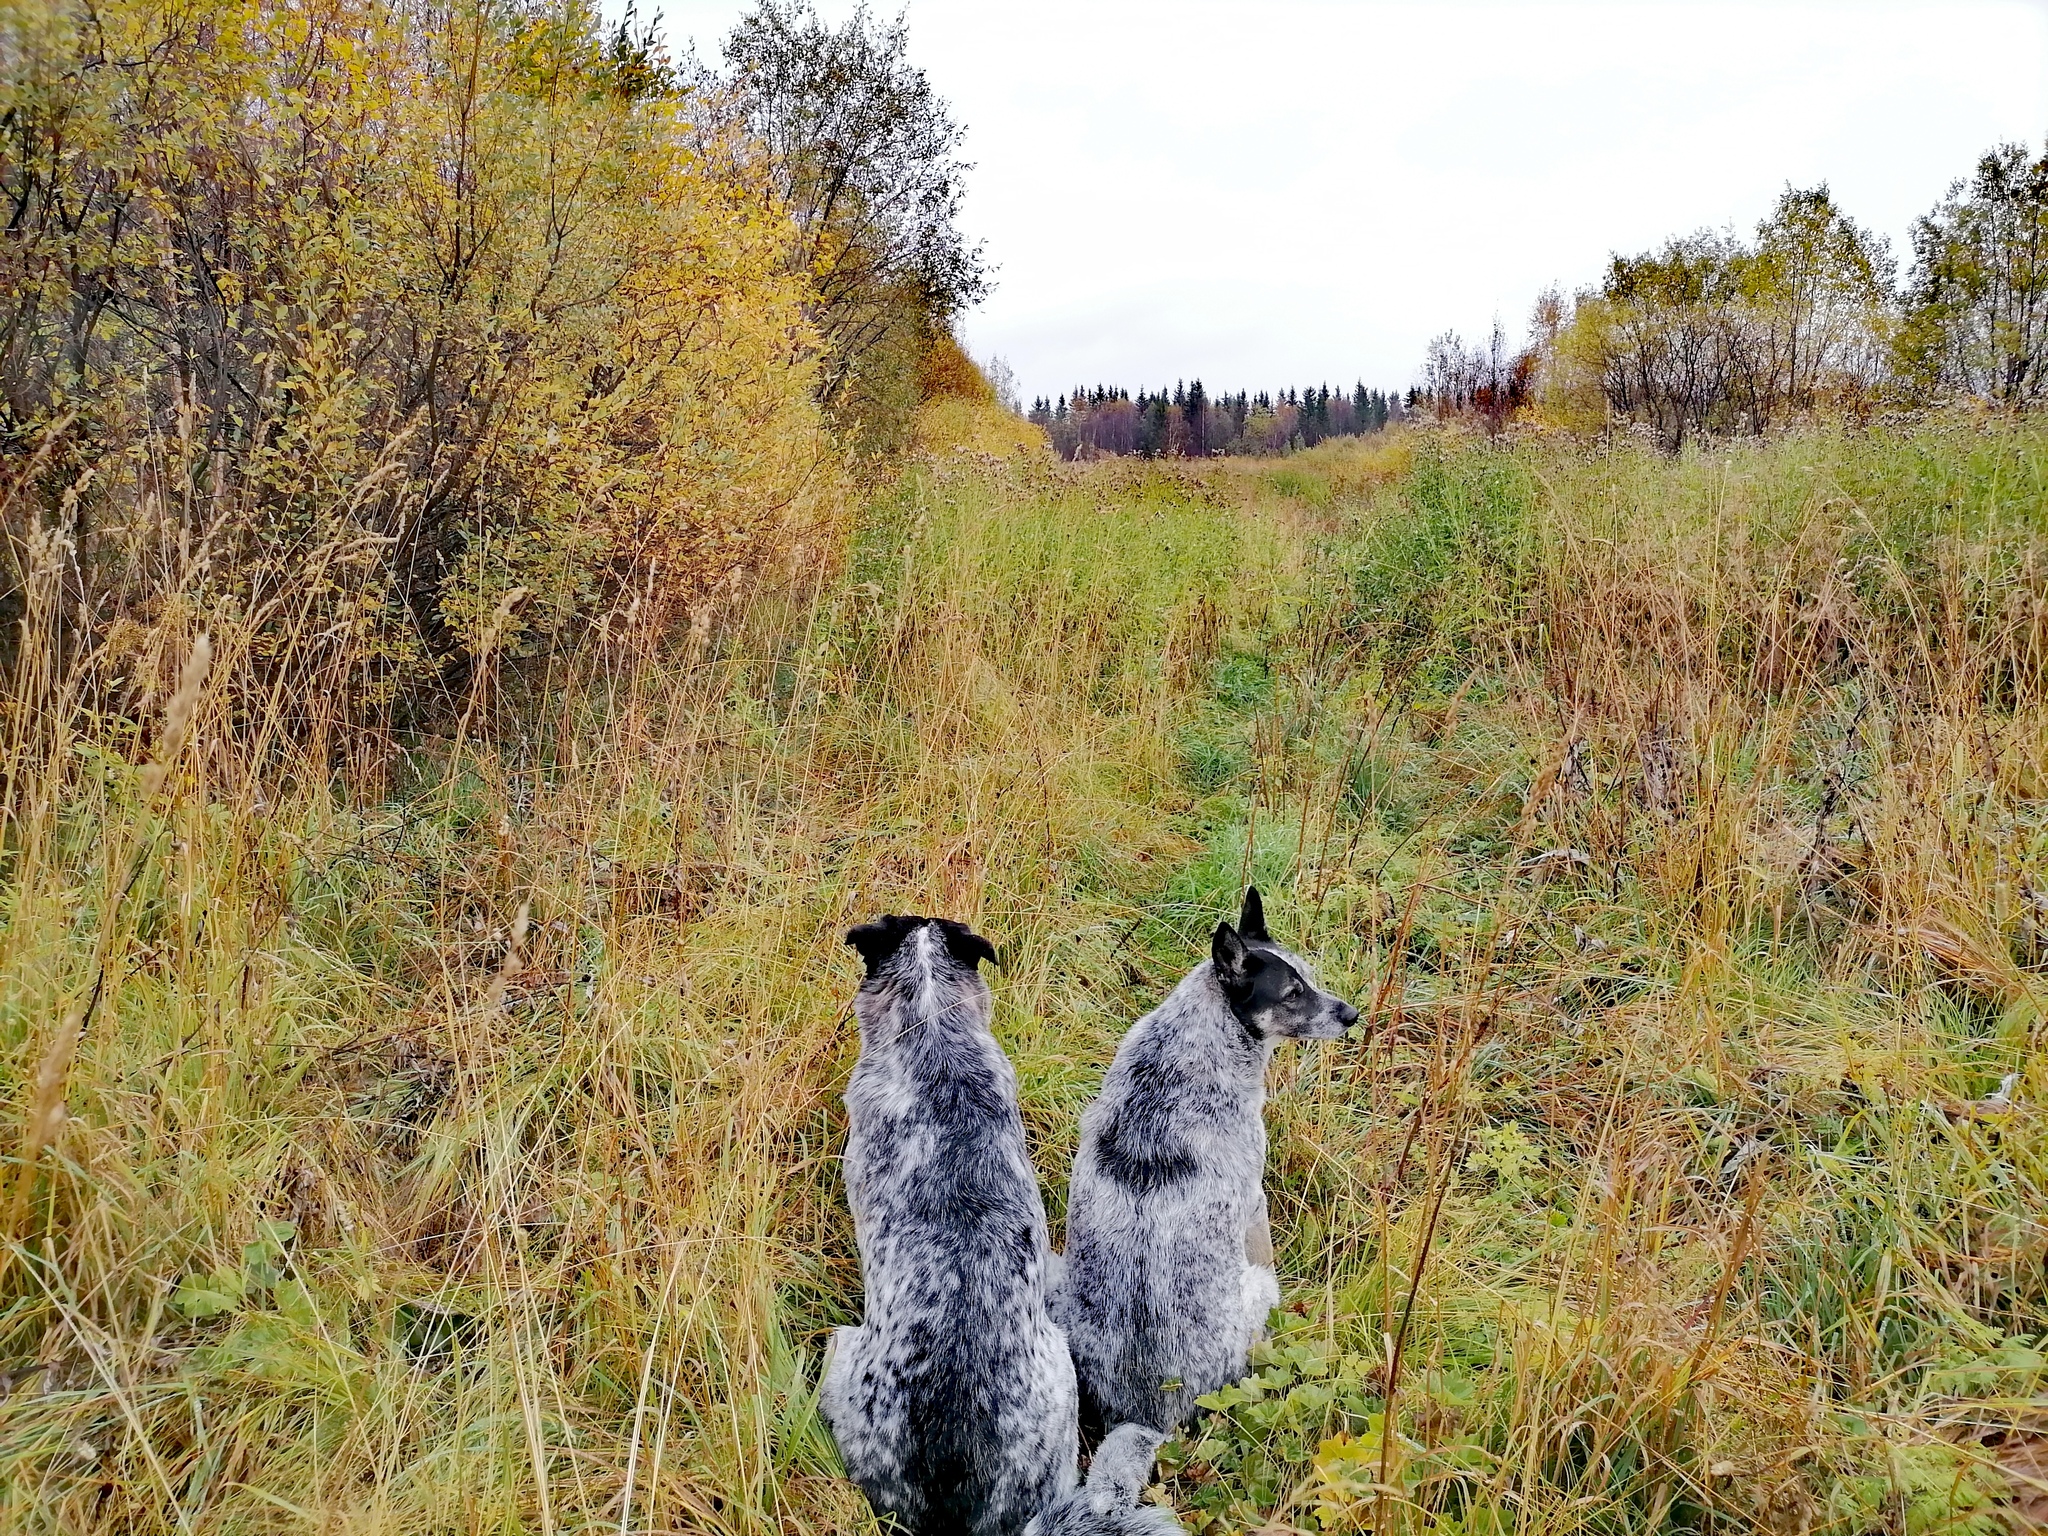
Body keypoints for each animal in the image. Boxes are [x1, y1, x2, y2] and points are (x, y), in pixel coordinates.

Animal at [1056, 888, 1359, 1433]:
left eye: (1309, 976)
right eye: (1292, 994)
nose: (1352, 1014)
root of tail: (1146, 1417)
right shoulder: (1254, 1203)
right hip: (1257, 1293)